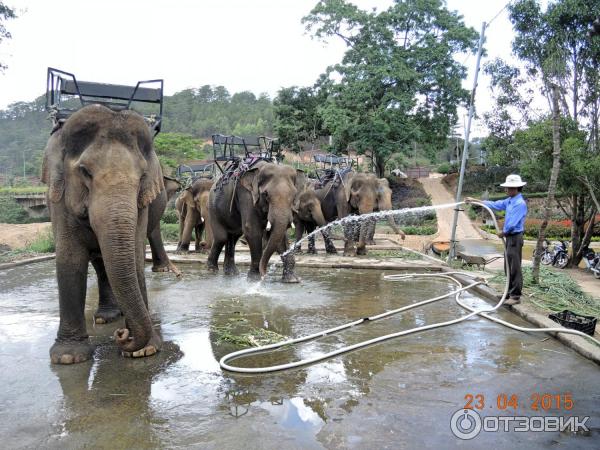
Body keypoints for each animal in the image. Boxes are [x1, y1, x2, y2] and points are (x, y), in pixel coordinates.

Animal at [42, 103, 164, 364]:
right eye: (85, 171)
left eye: (142, 176)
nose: (122, 335)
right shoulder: (59, 199)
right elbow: (70, 258)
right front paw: (67, 357)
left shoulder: (143, 204)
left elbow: (136, 255)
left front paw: (144, 350)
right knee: (99, 261)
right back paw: (105, 318)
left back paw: (110, 316)